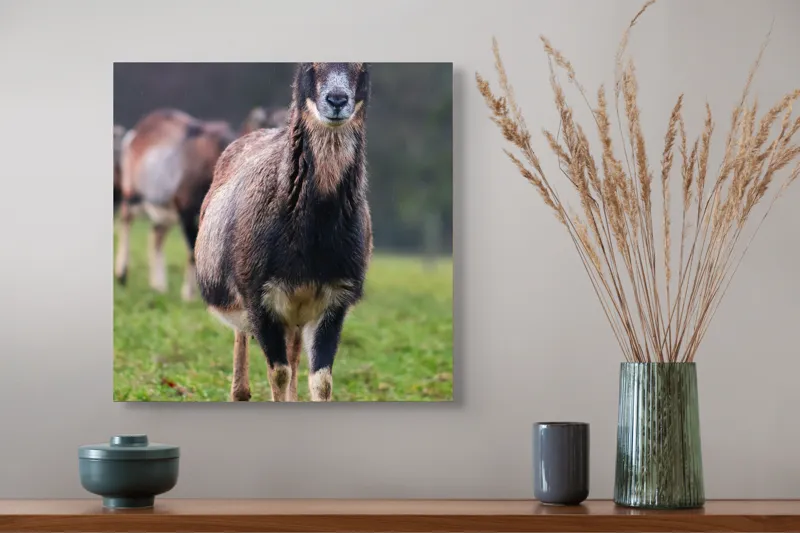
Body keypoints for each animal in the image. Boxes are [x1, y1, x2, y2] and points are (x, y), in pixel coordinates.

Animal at [115, 109, 236, 301]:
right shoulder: (187, 211)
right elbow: (193, 253)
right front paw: (188, 296)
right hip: (133, 194)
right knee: (126, 220)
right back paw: (122, 275)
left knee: (156, 236)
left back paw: (159, 286)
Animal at [195, 63, 373, 402]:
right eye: (310, 66)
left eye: (364, 67)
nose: (337, 100)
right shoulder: (258, 297)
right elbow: (278, 373)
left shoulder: (336, 299)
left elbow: (321, 380)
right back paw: (240, 392)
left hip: (296, 313)